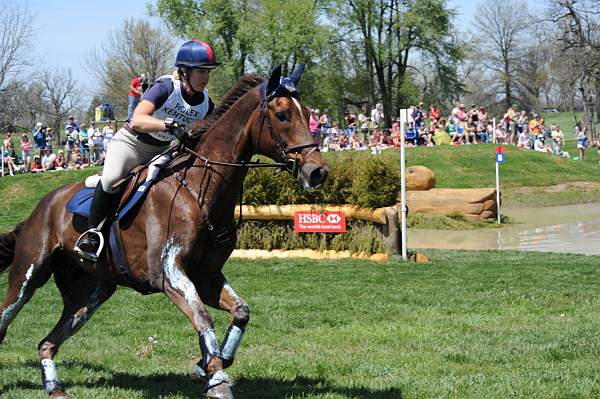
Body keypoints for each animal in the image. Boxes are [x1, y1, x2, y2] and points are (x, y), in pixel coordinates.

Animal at [0, 65, 326, 399]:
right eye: (282, 115)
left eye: (308, 114)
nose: (317, 172)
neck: (198, 189)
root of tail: (41, 206)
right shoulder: (169, 274)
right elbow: (202, 317)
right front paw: (217, 380)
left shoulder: (206, 276)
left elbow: (240, 311)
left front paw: (207, 367)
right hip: (28, 274)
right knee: (7, 316)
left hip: (91, 291)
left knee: (47, 343)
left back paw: (55, 388)